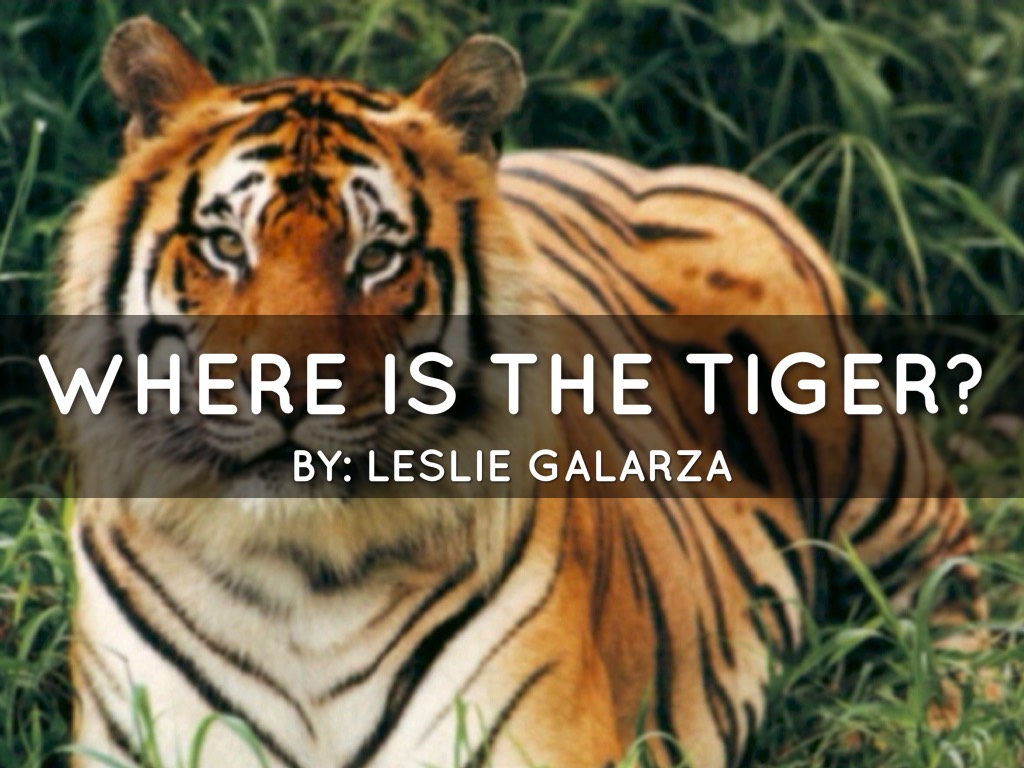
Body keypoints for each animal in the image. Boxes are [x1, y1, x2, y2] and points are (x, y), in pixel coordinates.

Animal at [52, 16, 987, 768]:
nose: (289, 387)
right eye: (225, 245)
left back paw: (930, 717)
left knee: (950, 582)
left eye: (377, 256)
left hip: (861, 444)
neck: (300, 584)